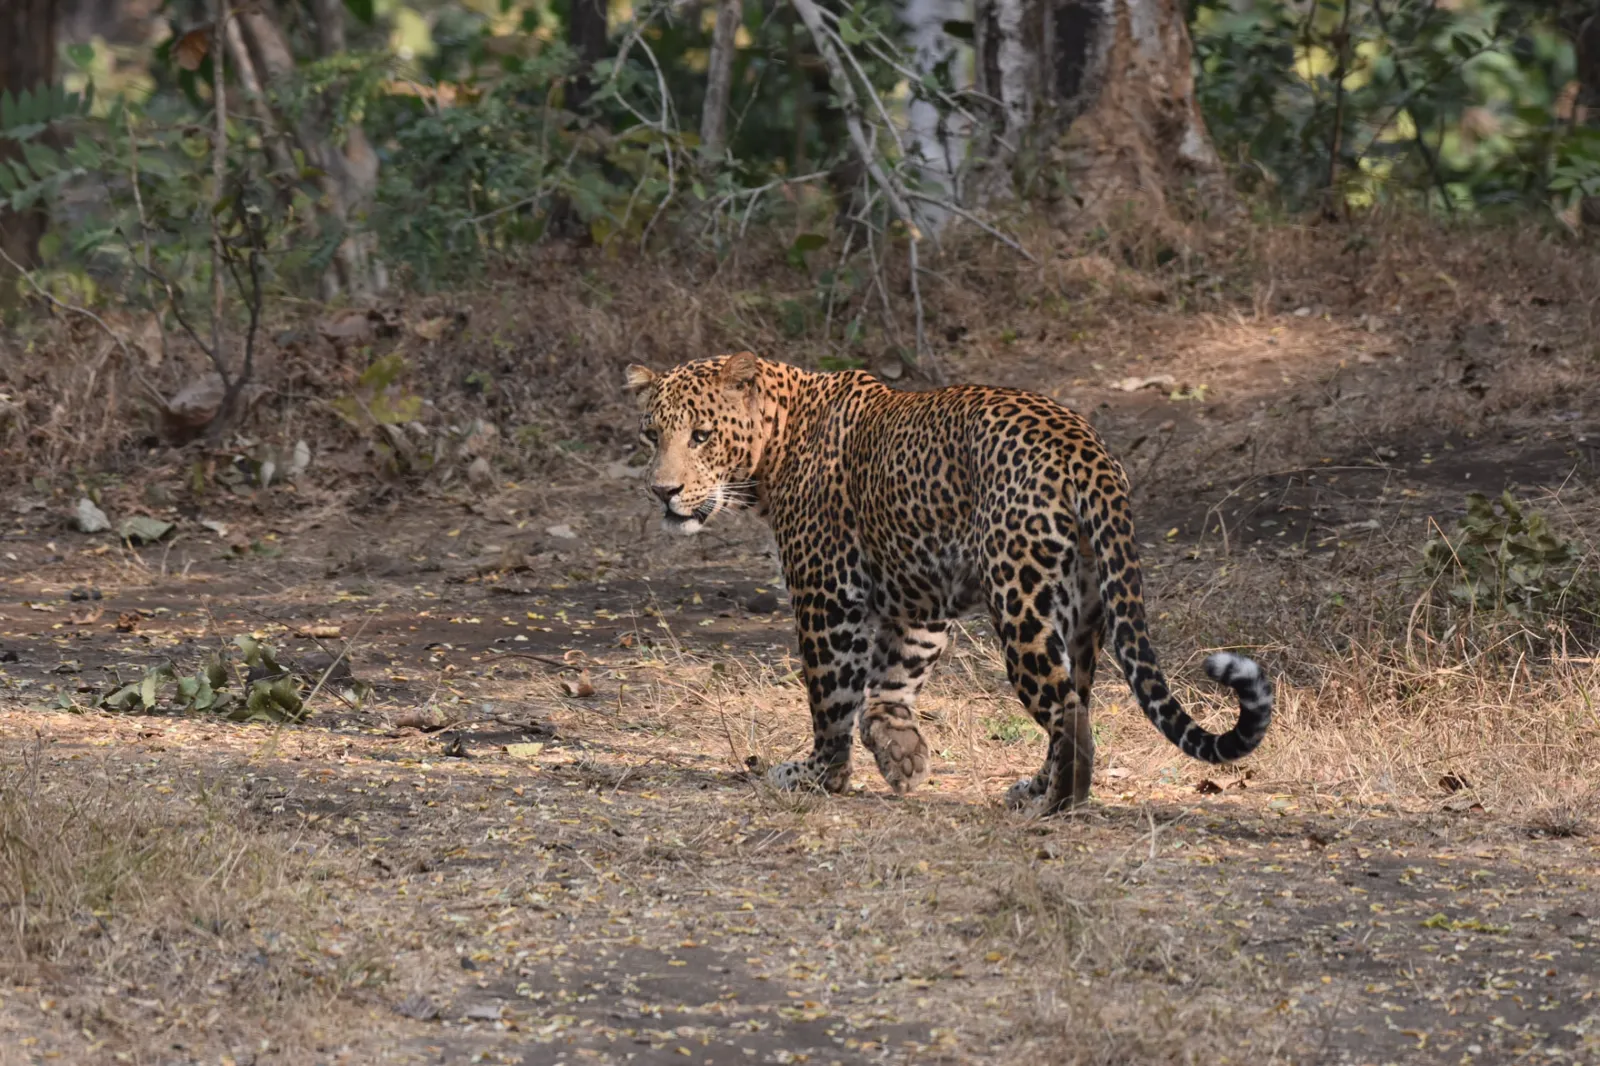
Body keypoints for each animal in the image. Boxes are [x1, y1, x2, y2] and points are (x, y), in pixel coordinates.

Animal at [623, 352, 1272, 814]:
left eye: (702, 435)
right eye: (652, 435)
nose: (661, 492)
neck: (773, 448)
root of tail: (1084, 448)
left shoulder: (826, 594)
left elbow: (831, 695)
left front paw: (818, 775)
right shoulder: (918, 598)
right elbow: (889, 681)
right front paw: (902, 755)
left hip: (1021, 600)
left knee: (1065, 708)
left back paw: (1058, 804)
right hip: (1082, 610)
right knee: (1079, 700)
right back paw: (1038, 789)